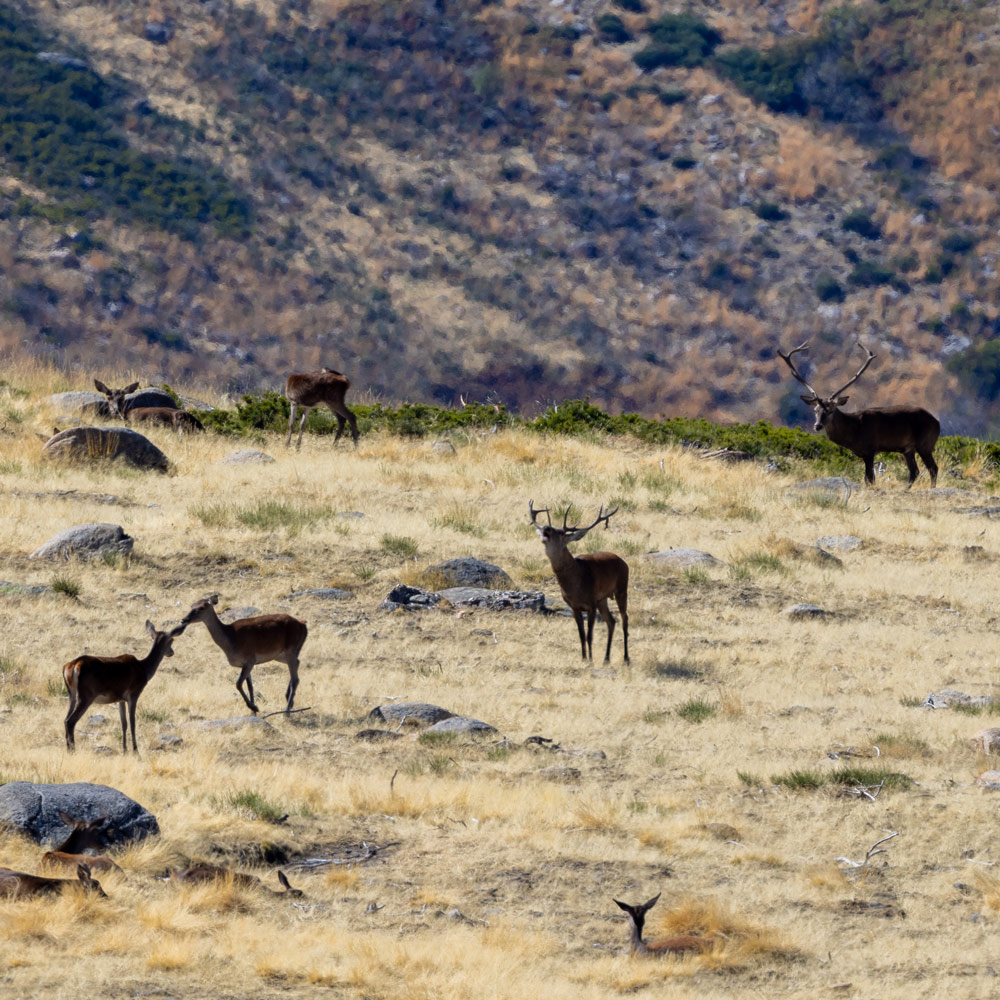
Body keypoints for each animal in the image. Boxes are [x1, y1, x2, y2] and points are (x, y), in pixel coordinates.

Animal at [63, 619, 187, 754]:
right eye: (171, 640)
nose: (171, 652)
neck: (145, 670)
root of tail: (73, 666)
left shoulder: (120, 699)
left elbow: (124, 723)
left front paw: (124, 750)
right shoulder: (133, 694)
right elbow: (132, 722)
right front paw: (136, 751)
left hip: (71, 695)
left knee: (65, 719)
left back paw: (68, 748)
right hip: (86, 695)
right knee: (71, 721)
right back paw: (72, 750)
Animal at [180, 594, 308, 714]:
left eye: (202, 607)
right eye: (192, 606)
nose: (183, 619)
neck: (231, 641)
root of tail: (303, 624)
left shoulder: (250, 659)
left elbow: (238, 683)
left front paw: (254, 707)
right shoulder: (245, 663)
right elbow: (250, 686)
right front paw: (253, 711)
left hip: (291, 649)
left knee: (296, 678)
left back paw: (287, 710)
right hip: (282, 654)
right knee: (297, 664)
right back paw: (289, 699)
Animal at [528, 500, 629, 663]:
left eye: (561, 533)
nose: (546, 528)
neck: (576, 584)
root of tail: (624, 562)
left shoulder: (591, 604)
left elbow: (589, 636)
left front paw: (591, 660)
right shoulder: (574, 606)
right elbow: (581, 635)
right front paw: (584, 659)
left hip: (622, 588)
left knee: (624, 619)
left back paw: (626, 658)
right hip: (602, 599)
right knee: (612, 621)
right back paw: (606, 658)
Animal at [777, 340, 940, 488]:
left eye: (830, 410)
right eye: (815, 410)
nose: (817, 426)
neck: (854, 431)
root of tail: (937, 422)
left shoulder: (870, 449)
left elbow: (869, 479)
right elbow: (868, 479)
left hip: (925, 443)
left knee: (933, 468)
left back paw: (931, 488)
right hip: (908, 448)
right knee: (915, 471)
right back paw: (905, 489)